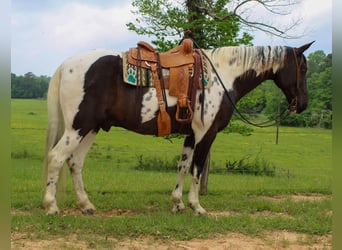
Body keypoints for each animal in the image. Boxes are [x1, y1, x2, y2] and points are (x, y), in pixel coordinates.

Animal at [42, 41, 312, 215]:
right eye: (303, 68)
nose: (302, 104)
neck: (223, 76)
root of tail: (65, 65)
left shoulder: (191, 134)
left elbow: (183, 166)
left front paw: (177, 203)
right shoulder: (206, 133)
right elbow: (197, 168)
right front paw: (196, 206)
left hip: (91, 128)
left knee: (75, 162)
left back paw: (86, 205)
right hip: (78, 127)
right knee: (56, 158)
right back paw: (51, 206)